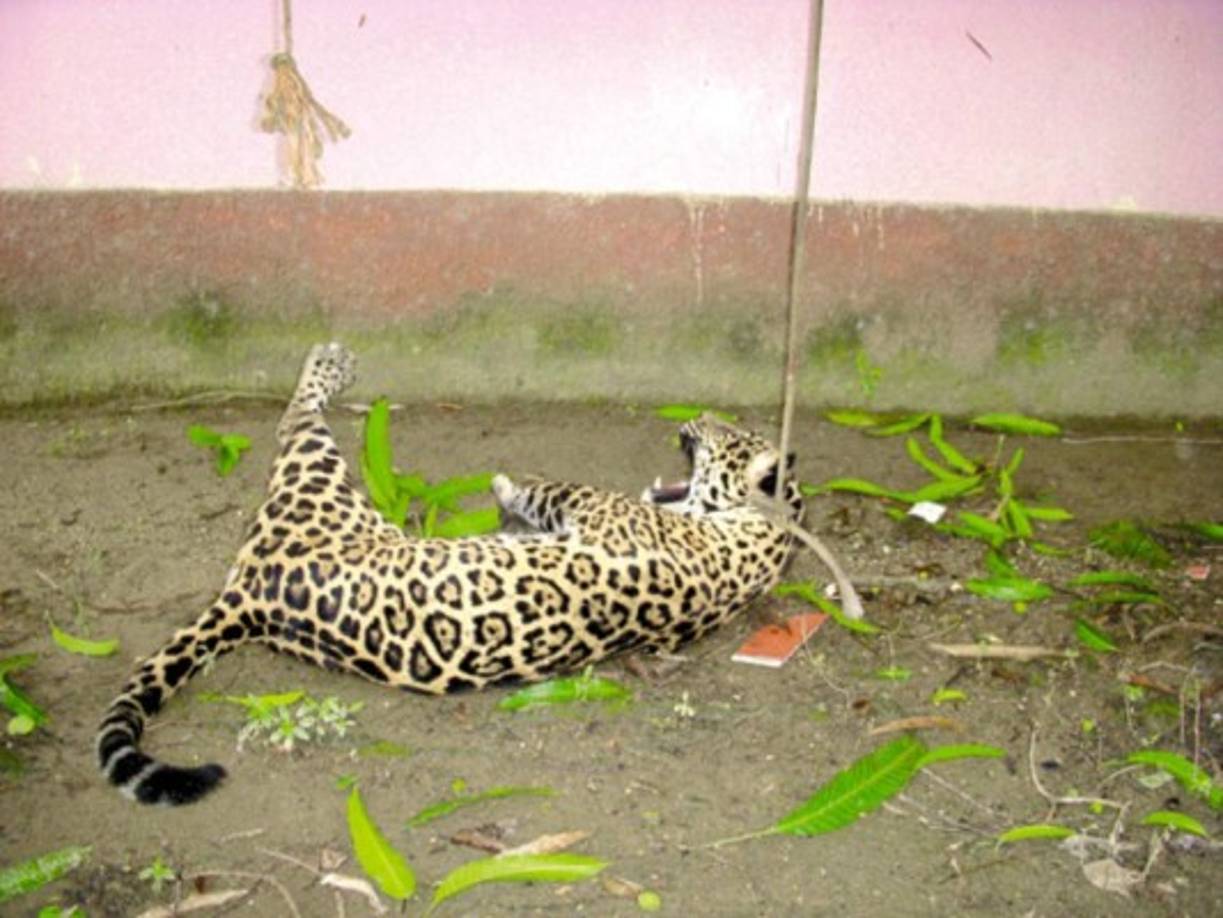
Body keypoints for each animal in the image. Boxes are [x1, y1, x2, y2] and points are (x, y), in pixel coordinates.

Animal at [97, 343, 804, 805]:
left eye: (725, 433)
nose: (695, 418)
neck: (758, 545)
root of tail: (249, 589)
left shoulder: (595, 509)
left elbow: (548, 488)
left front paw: (509, 488)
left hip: (316, 474)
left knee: (297, 415)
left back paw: (330, 362)